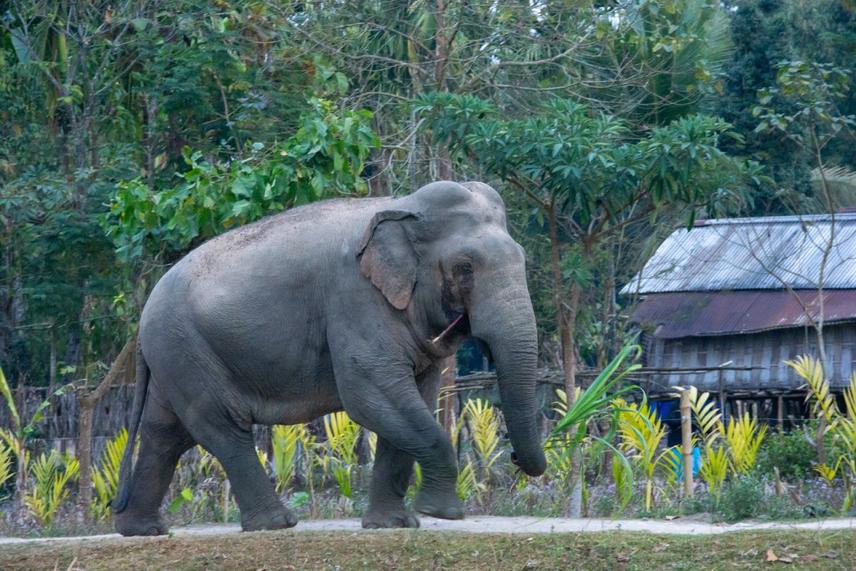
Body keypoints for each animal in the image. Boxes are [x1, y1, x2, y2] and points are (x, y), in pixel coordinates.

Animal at [113, 180, 546, 536]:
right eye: (465, 267)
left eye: (523, 259)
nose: (513, 456)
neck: (400, 205)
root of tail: (143, 316)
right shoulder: (354, 297)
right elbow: (373, 395)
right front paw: (441, 513)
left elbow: (413, 398)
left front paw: (393, 525)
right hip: (186, 349)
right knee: (221, 427)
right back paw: (276, 524)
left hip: (176, 354)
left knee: (165, 433)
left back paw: (144, 531)